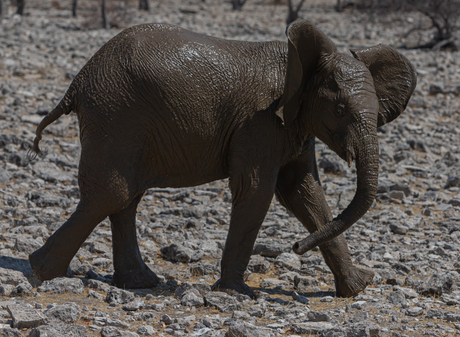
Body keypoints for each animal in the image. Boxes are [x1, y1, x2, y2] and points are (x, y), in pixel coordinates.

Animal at [28, 19, 416, 296]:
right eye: (339, 110)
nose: (295, 247)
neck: (298, 66)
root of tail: (78, 81)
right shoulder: (259, 121)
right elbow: (258, 191)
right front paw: (237, 292)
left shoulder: (293, 125)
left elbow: (305, 194)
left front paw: (357, 287)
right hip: (116, 115)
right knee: (111, 194)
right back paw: (42, 271)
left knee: (125, 198)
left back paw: (139, 282)